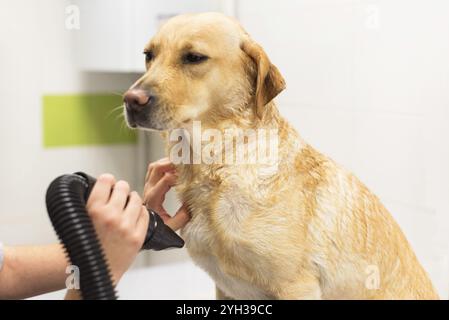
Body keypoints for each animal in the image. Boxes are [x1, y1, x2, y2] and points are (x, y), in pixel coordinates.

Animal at [123, 11, 438, 298]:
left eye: (194, 57)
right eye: (149, 55)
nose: (130, 100)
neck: (224, 161)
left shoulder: (297, 286)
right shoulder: (224, 289)